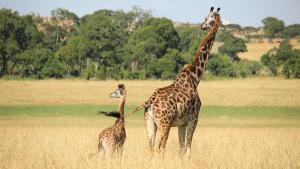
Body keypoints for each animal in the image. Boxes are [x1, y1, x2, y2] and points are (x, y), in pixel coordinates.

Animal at [129, 6, 220, 157]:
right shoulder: (194, 118)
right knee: (161, 148)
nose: (203, 26)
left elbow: (181, 148)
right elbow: (188, 148)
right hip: (165, 124)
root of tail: (150, 102)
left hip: (150, 122)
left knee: (150, 148)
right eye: (207, 18)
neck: (195, 77)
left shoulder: (181, 123)